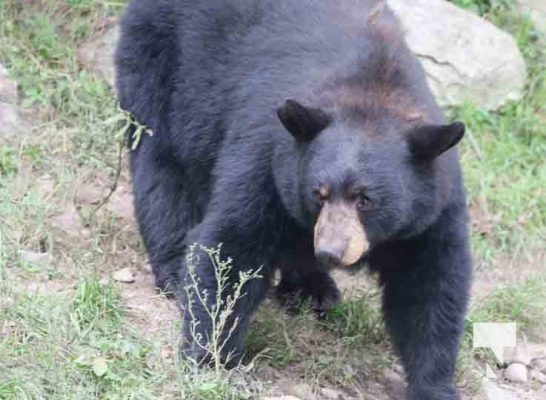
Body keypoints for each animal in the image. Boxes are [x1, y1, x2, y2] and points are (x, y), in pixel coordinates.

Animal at [116, 1, 472, 398]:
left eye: (365, 200)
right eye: (319, 193)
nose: (331, 252)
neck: (372, 88)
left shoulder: (432, 205)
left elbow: (430, 286)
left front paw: (435, 385)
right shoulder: (269, 157)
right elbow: (233, 244)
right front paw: (211, 356)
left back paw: (312, 288)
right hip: (163, 62)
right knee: (160, 161)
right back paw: (176, 270)